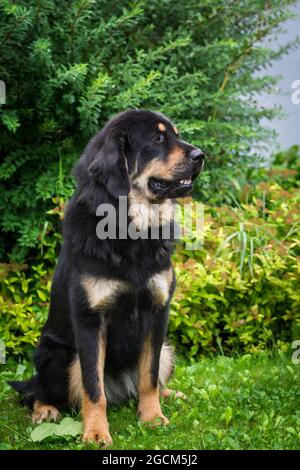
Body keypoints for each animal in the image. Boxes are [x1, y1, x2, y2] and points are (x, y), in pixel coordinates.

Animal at [10, 108, 205, 446]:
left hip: (168, 349)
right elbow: (93, 387)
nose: (201, 155)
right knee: (37, 390)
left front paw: (152, 417)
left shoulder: (157, 313)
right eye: (157, 140)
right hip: (55, 354)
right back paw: (45, 410)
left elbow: (149, 377)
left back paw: (170, 394)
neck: (130, 231)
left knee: (148, 380)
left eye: (175, 135)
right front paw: (96, 432)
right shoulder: (91, 319)